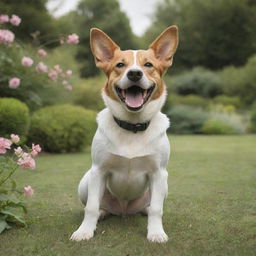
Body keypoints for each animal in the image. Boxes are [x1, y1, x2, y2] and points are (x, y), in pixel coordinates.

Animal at [70, 26, 178, 244]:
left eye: (148, 64)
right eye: (120, 65)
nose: (135, 74)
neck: (132, 126)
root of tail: (123, 210)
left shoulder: (158, 173)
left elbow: (157, 209)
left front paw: (156, 233)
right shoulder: (98, 170)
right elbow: (91, 207)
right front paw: (85, 231)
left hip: (164, 185)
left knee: (150, 206)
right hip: (86, 182)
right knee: (97, 205)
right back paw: (103, 213)